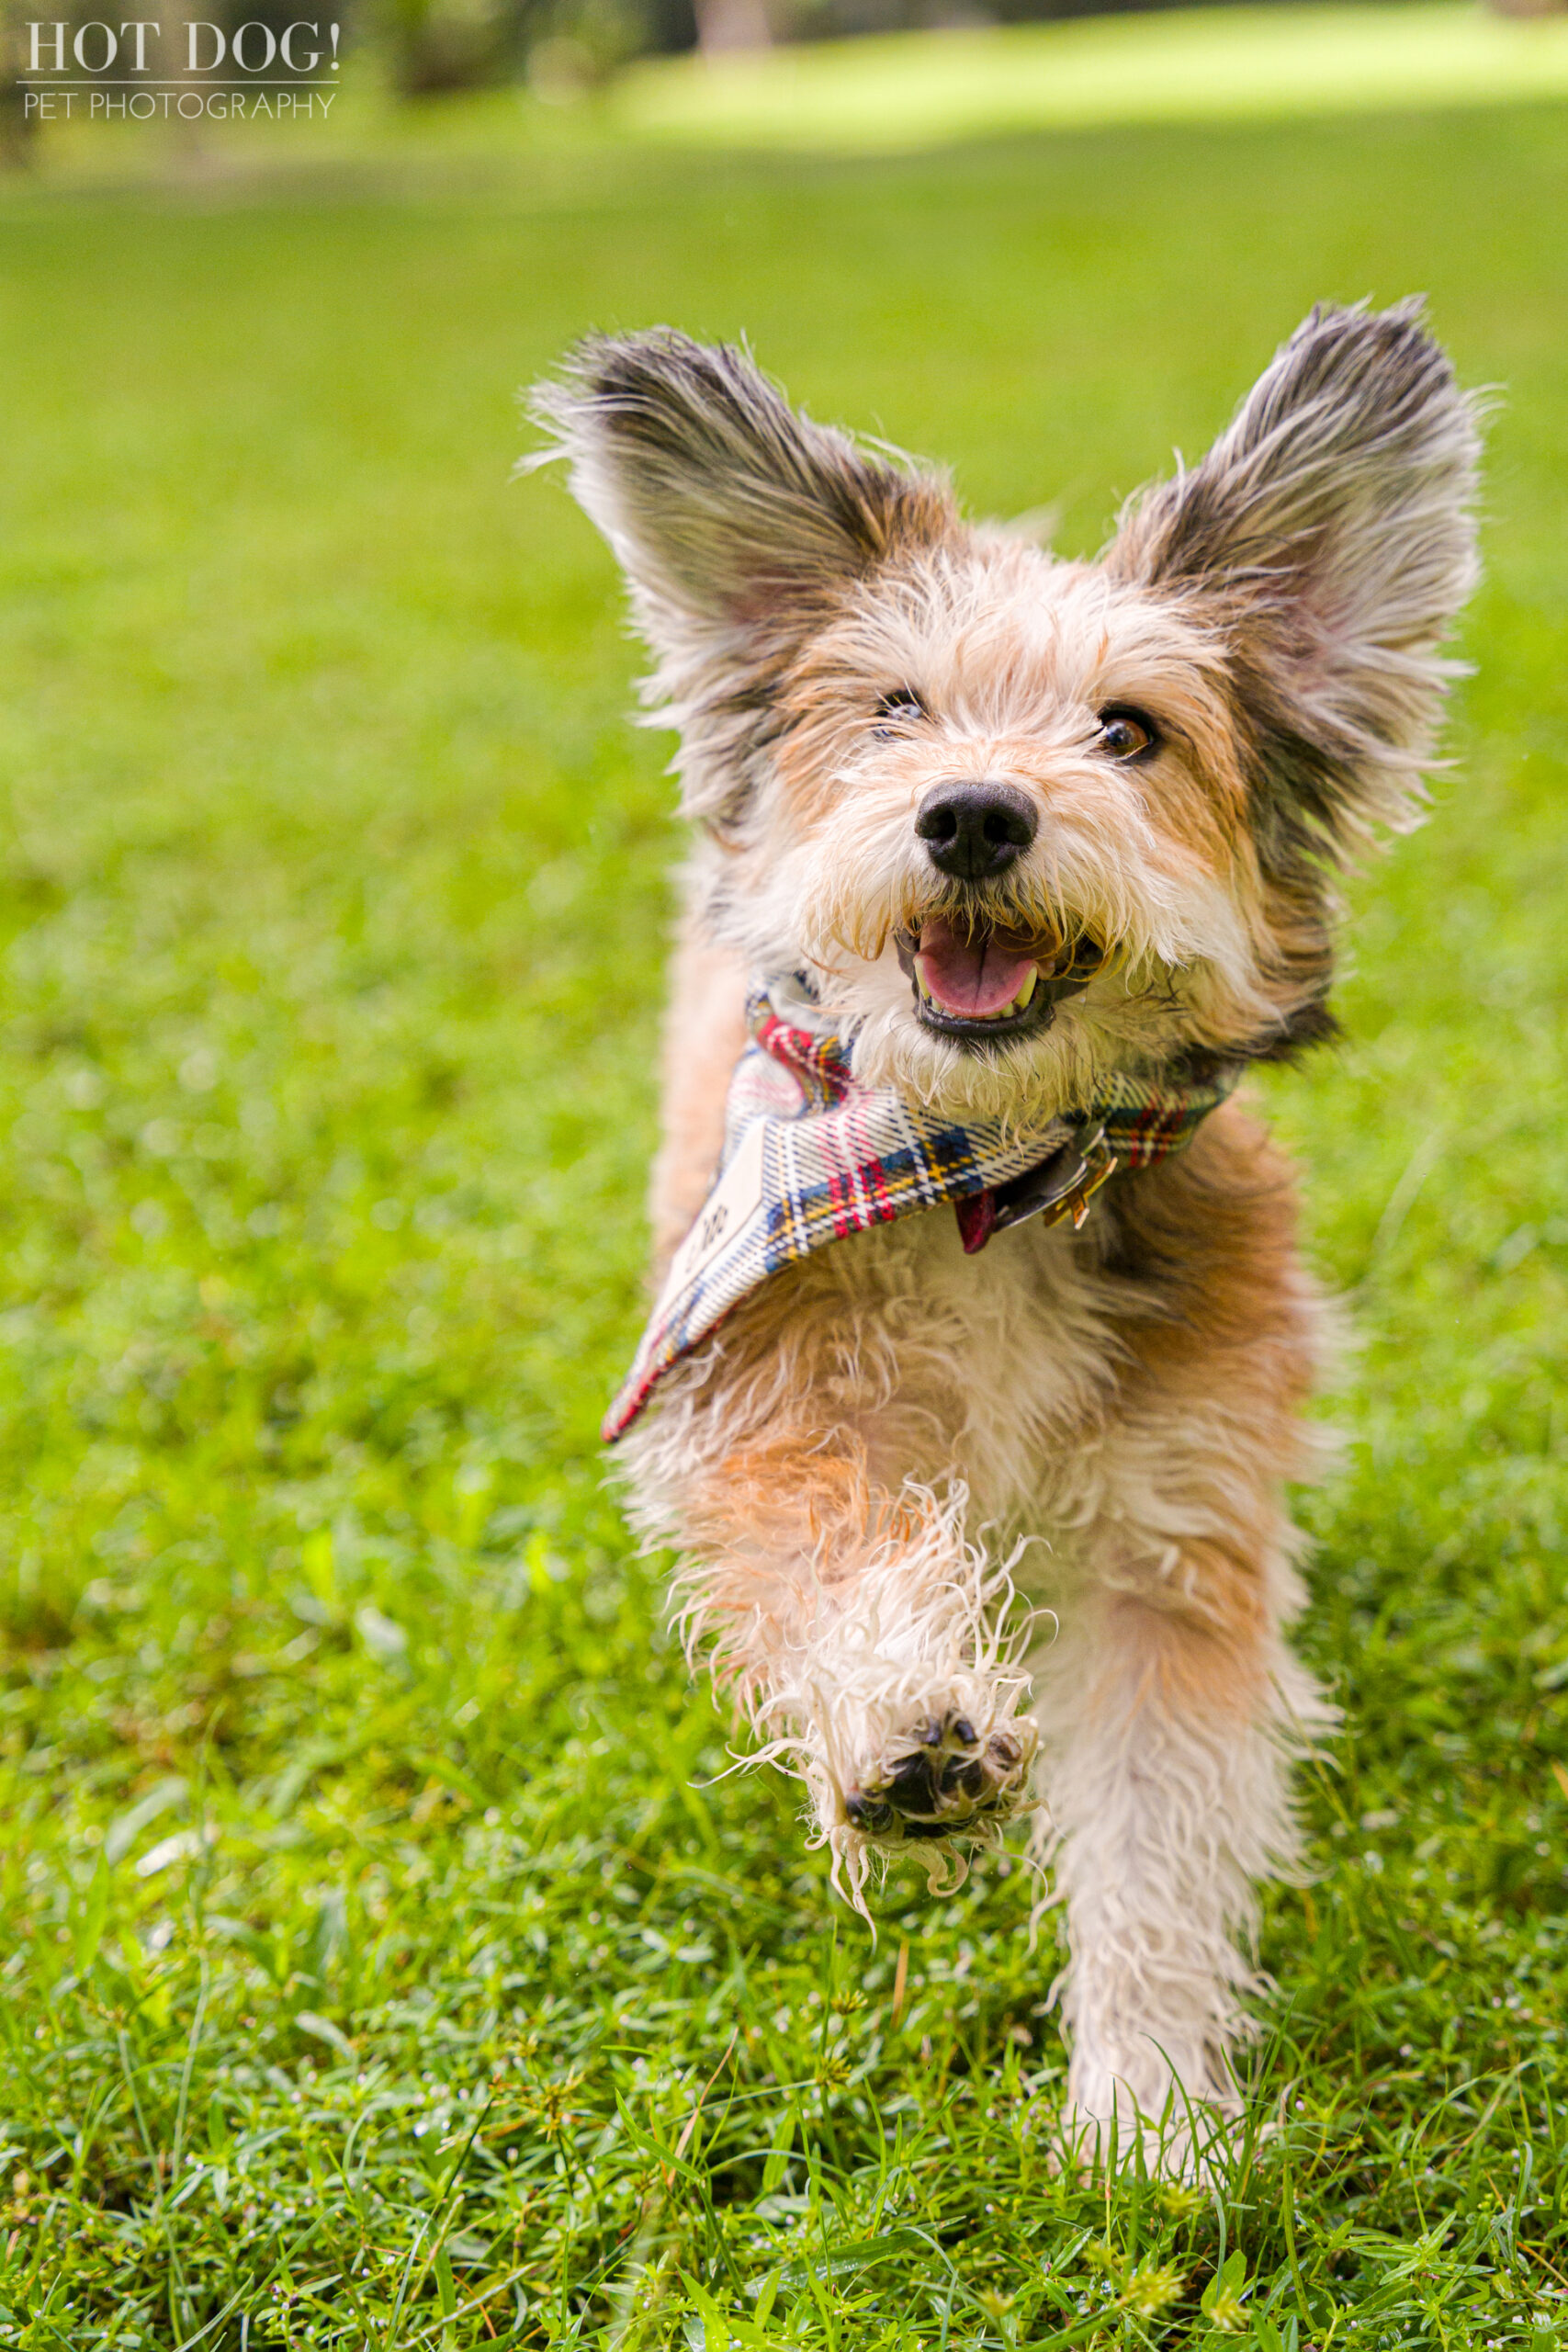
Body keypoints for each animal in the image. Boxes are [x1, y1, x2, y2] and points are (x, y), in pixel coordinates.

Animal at [533, 308, 1476, 2154]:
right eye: (892, 712)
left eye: (1129, 732)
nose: (973, 810)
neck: (988, 1175)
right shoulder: (750, 1399)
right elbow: (821, 1550)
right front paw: (905, 1726)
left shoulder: (1175, 1531)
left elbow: (1157, 1832)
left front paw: (1151, 2115)